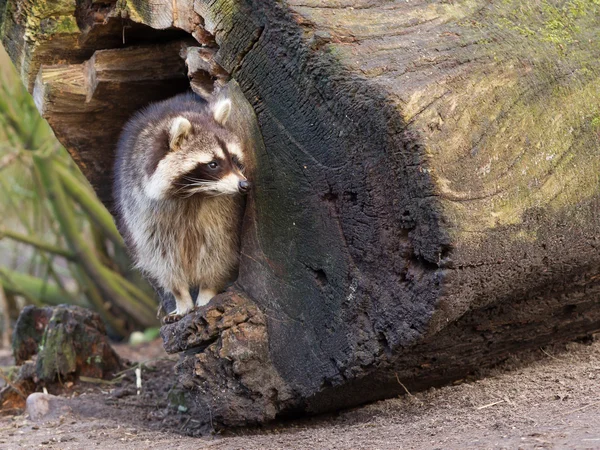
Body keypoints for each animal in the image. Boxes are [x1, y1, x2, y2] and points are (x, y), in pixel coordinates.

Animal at [113, 92, 250, 324]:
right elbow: (162, 256)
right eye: (213, 164)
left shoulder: (224, 210)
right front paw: (182, 298)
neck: (193, 194)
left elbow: (218, 247)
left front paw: (207, 291)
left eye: (233, 158)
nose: (244, 185)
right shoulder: (141, 208)